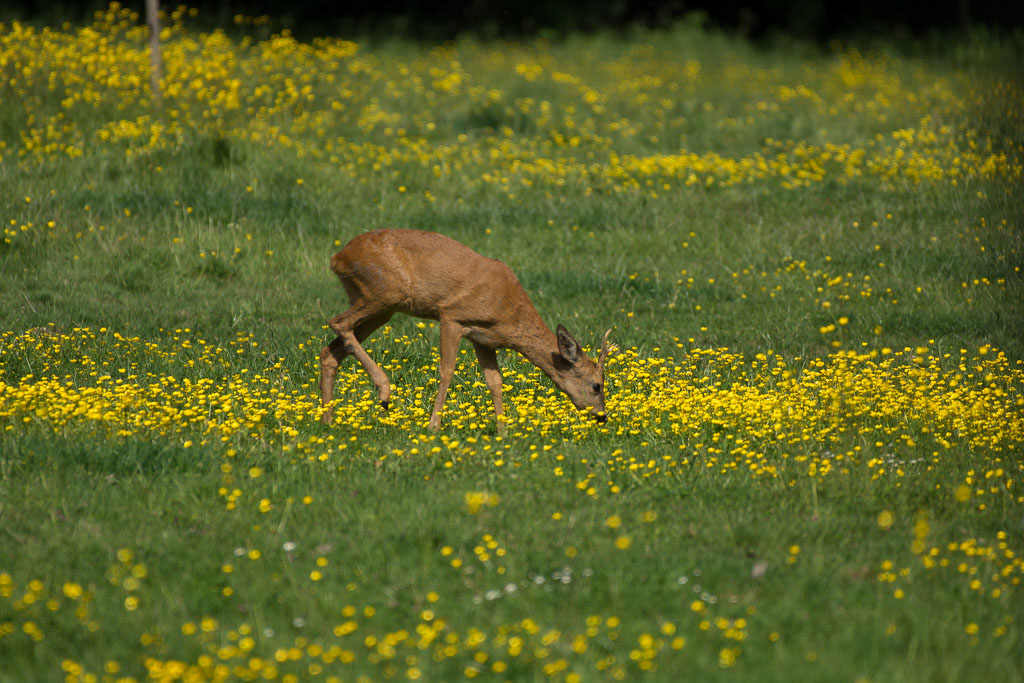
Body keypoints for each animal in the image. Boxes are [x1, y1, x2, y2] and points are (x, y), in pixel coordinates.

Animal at [317, 229, 606, 432]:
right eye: (597, 386)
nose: (602, 416)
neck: (508, 310)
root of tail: (337, 257)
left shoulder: (485, 339)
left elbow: (495, 381)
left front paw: (503, 430)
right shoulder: (451, 316)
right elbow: (447, 371)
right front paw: (433, 425)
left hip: (378, 305)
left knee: (330, 350)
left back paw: (328, 419)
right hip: (383, 292)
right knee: (338, 322)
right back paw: (384, 391)